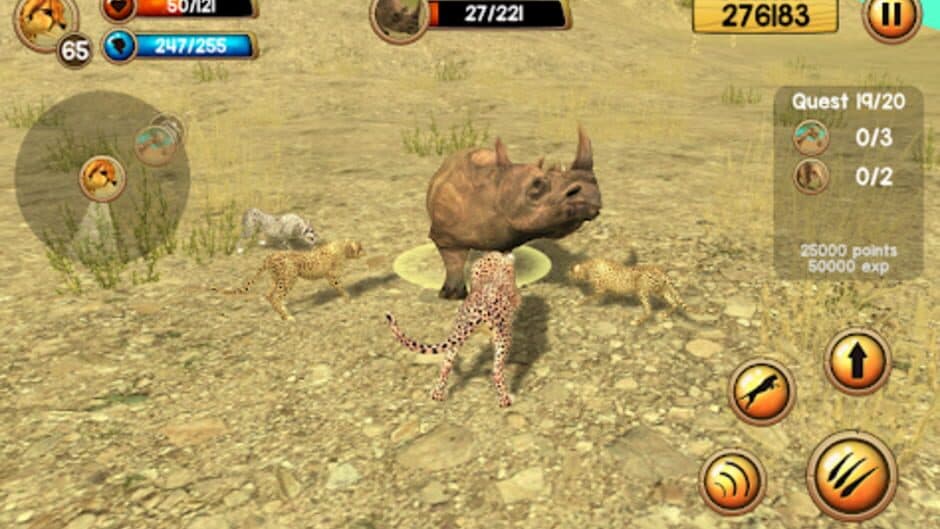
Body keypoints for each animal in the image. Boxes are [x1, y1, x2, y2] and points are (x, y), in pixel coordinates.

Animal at [214, 240, 364, 321]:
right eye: (360, 248)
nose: (364, 252)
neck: (341, 247)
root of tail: (269, 256)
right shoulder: (331, 276)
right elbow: (341, 287)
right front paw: (349, 299)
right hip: (289, 279)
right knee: (276, 296)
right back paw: (288, 317)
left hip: (277, 279)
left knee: (269, 295)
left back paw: (283, 313)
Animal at [385, 252, 521, 407]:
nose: (505, 253)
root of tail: (478, 309)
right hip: (503, 340)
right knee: (497, 371)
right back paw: (506, 400)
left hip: (456, 337)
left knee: (446, 365)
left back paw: (437, 394)